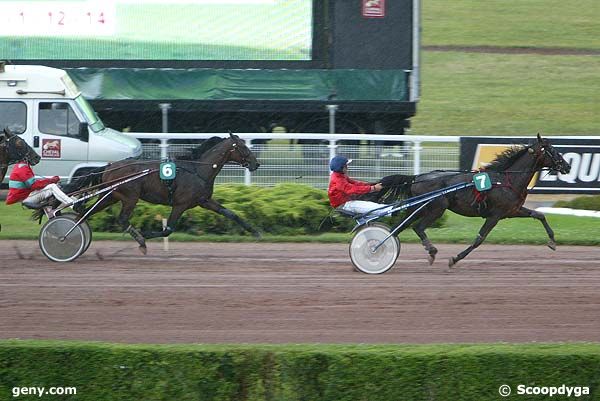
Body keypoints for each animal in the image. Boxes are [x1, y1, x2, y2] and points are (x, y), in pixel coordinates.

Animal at [380, 133, 572, 268]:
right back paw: (431, 251)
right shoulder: (495, 215)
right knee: (417, 227)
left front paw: (552, 241)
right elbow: (480, 239)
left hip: (418, 208)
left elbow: (539, 215)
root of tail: (417, 177)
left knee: (400, 227)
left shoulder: (513, 211)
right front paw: (455, 258)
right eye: (552, 150)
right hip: (436, 208)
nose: (567, 166)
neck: (507, 180)